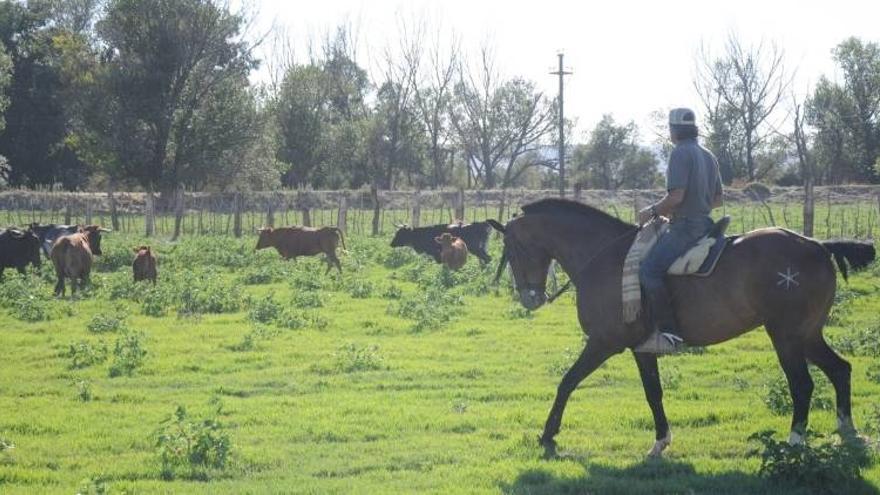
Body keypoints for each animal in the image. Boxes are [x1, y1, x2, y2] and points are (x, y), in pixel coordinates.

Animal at [488, 198, 872, 458]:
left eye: (512, 248)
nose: (530, 298)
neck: (605, 259)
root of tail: (817, 245)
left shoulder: (603, 343)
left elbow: (567, 382)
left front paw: (548, 434)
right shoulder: (642, 348)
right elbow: (653, 393)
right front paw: (660, 441)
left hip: (787, 336)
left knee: (802, 384)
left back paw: (794, 441)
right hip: (808, 334)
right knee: (840, 369)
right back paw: (847, 430)